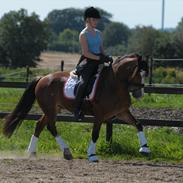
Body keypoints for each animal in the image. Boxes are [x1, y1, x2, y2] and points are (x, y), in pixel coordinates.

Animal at [2, 53, 150, 162]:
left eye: (146, 74)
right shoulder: (100, 115)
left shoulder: (121, 112)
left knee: (40, 125)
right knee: (51, 126)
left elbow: (138, 124)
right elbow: (95, 134)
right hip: (50, 109)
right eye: (139, 72)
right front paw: (92, 155)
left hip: (53, 109)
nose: (139, 94)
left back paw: (32, 152)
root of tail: (43, 77)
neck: (114, 83)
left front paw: (145, 148)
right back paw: (66, 151)